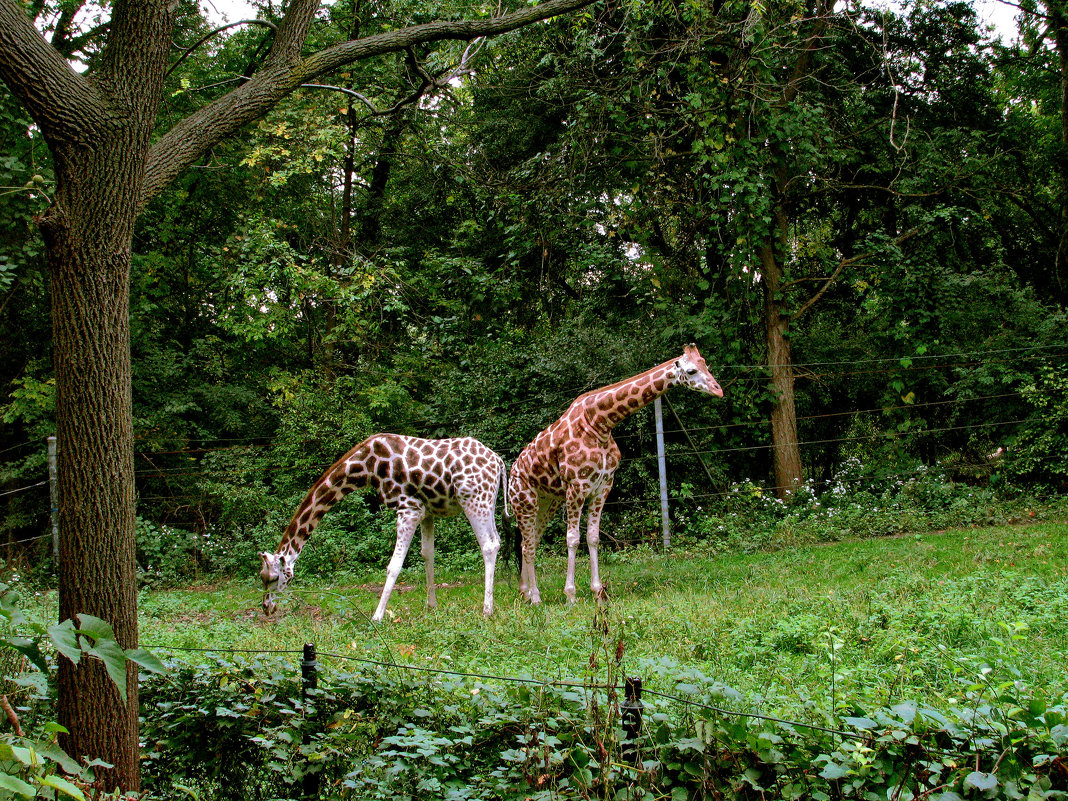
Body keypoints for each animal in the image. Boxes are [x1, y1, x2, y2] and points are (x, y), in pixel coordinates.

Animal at [259, 435, 508, 623]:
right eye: (261, 577)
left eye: (273, 578)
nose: (266, 608)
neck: (366, 468)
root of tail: (499, 461)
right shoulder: (426, 511)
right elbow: (427, 555)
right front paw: (431, 606)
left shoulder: (408, 509)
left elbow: (394, 566)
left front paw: (377, 616)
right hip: (487, 502)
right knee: (497, 541)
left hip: (473, 500)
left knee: (488, 545)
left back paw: (487, 610)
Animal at [508, 341, 726, 606]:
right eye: (692, 371)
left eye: (707, 365)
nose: (718, 391)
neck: (599, 423)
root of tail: (512, 472)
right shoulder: (576, 486)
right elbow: (572, 538)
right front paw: (570, 595)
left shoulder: (603, 486)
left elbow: (592, 537)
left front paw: (597, 592)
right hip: (524, 501)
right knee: (528, 544)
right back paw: (536, 597)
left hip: (547, 503)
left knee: (529, 542)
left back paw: (525, 592)